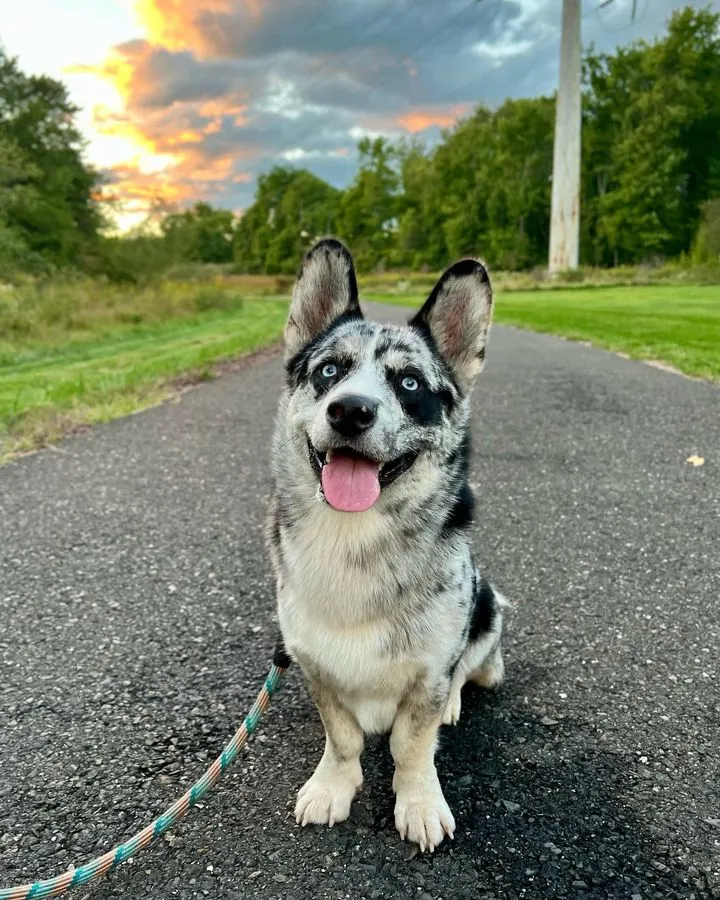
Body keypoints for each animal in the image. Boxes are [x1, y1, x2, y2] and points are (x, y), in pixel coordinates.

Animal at [268, 237, 510, 852]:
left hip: (488, 606)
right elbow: (343, 738)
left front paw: (419, 803)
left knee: (469, 668)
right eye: (329, 370)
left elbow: (412, 746)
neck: (353, 541)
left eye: (410, 384)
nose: (350, 410)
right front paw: (332, 786)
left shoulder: (428, 675)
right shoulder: (318, 669)